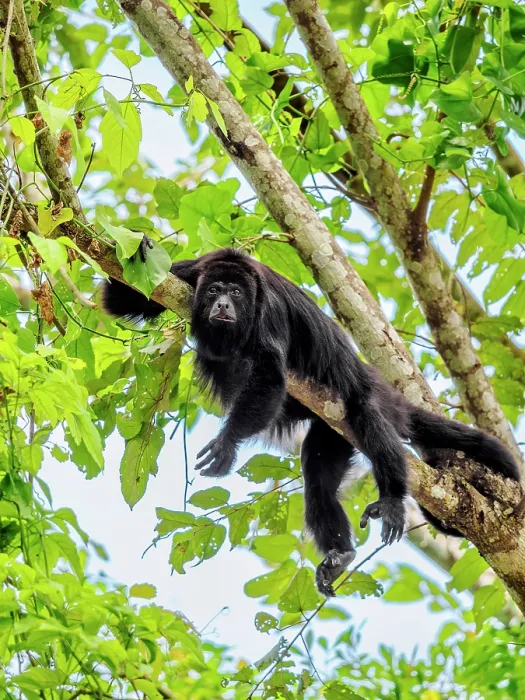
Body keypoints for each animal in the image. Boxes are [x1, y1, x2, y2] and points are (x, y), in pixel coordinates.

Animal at [102, 247, 520, 596]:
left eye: (235, 293)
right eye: (214, 290)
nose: (221, 303)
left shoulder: (267, 310)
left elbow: (270, 376)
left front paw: (227, 444)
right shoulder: (191, 273)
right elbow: (127, 297)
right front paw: (140, 249)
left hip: (364, 398)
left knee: (369, 420)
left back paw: (392, 500)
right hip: (331, 433)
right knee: (318, 476)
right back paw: (341, 553)